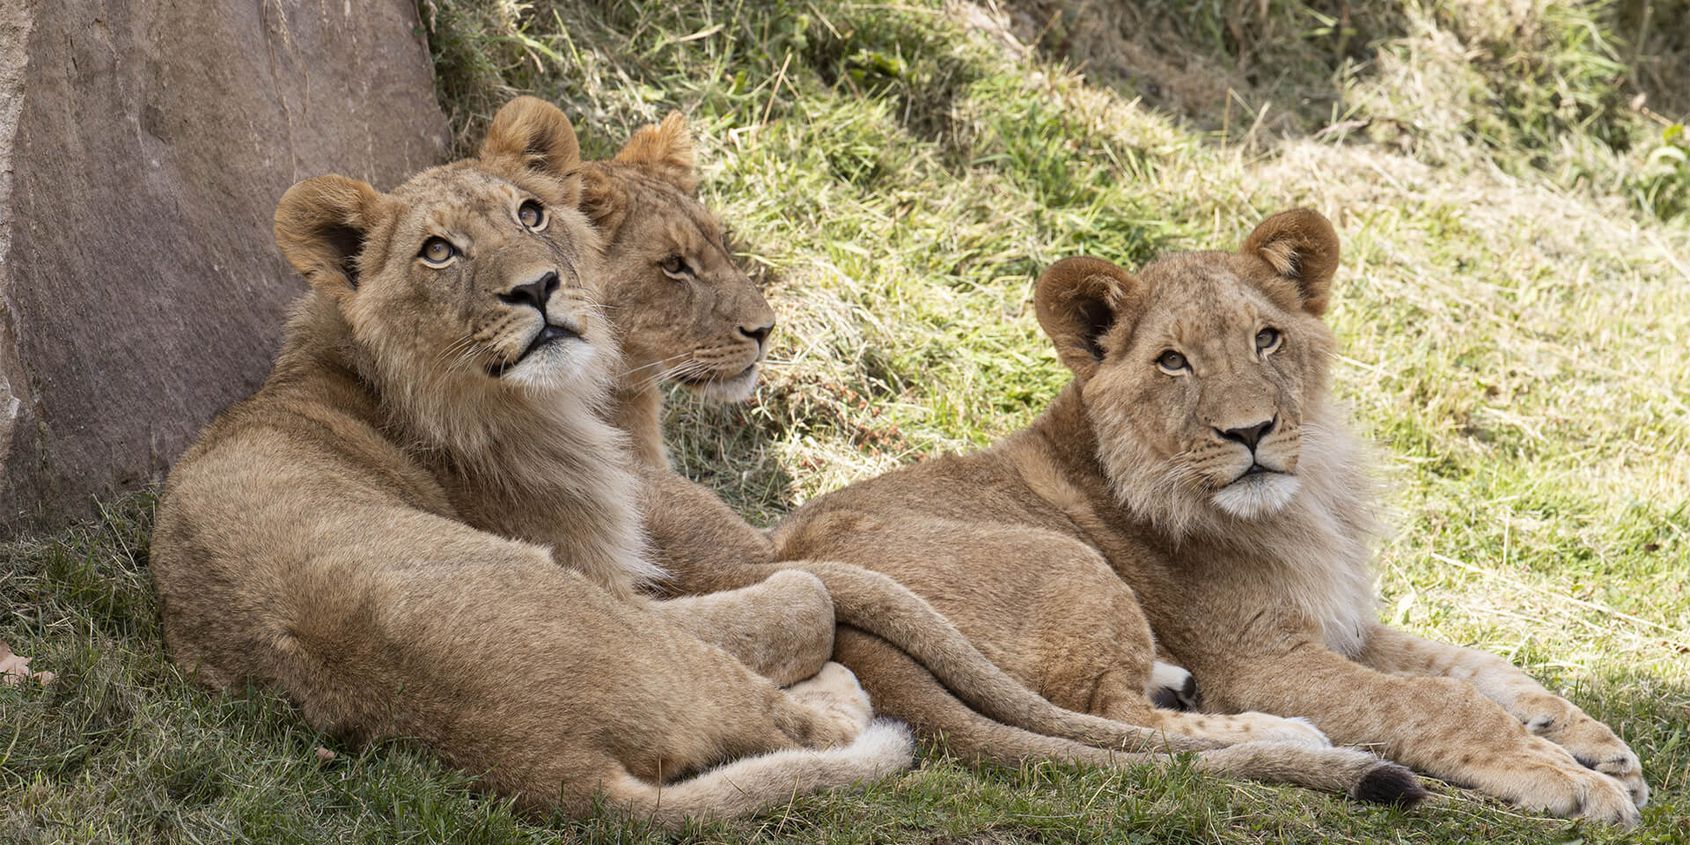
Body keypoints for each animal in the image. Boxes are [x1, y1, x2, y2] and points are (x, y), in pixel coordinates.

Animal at [148, 94, 926, 824]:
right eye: (438, 251)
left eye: (531, 214)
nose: (536, 287)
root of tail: (548, 766)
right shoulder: (609, 571)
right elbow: (798, 595)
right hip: (597, 613)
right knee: (795, 676)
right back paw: (833, 691)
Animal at [777, 209, 1649, 824]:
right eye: (1173, 361)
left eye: (1267, 339)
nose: (1250, 431)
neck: (1307, 500)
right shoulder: (1260, 658)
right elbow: (1437, 698)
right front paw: (1566, 777)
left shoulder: (1341, 620)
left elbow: (1480, 666)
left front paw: (1597, 745)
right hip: (1074, 568)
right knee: (1111, 715)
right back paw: (1284, 734)